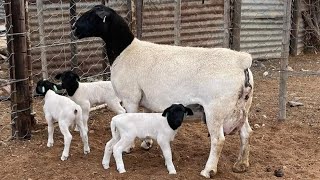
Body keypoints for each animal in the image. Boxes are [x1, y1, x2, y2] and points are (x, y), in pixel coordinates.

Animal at [72, 4, 252, 178]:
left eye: (92, 16)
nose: (74, 28)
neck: (125, 51)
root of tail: (241, 61)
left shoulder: (130, 97)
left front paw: (129, 147)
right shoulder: (146, 99)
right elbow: (145, 117)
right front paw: (146, 142)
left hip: (215, 110)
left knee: (218, 140)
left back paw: (208, 170)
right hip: (242, 108)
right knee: (246, 133)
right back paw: (241, 165)